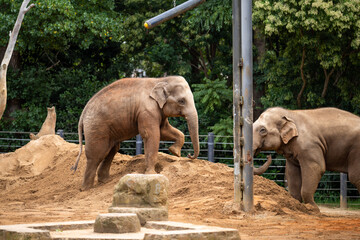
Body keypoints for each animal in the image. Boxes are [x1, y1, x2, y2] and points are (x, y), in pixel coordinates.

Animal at [71, 76, 200, 190]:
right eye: (181, 101)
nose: (189, 156)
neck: (160, 80)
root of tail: (83, 113)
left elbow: (164, 130)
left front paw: (174, 152)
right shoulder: (147, 111)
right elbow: (152, 134)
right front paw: (151, 174)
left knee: (112, 149)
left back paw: (105, 181)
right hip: (96, 127)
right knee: (97, 154)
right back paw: (86, 188)